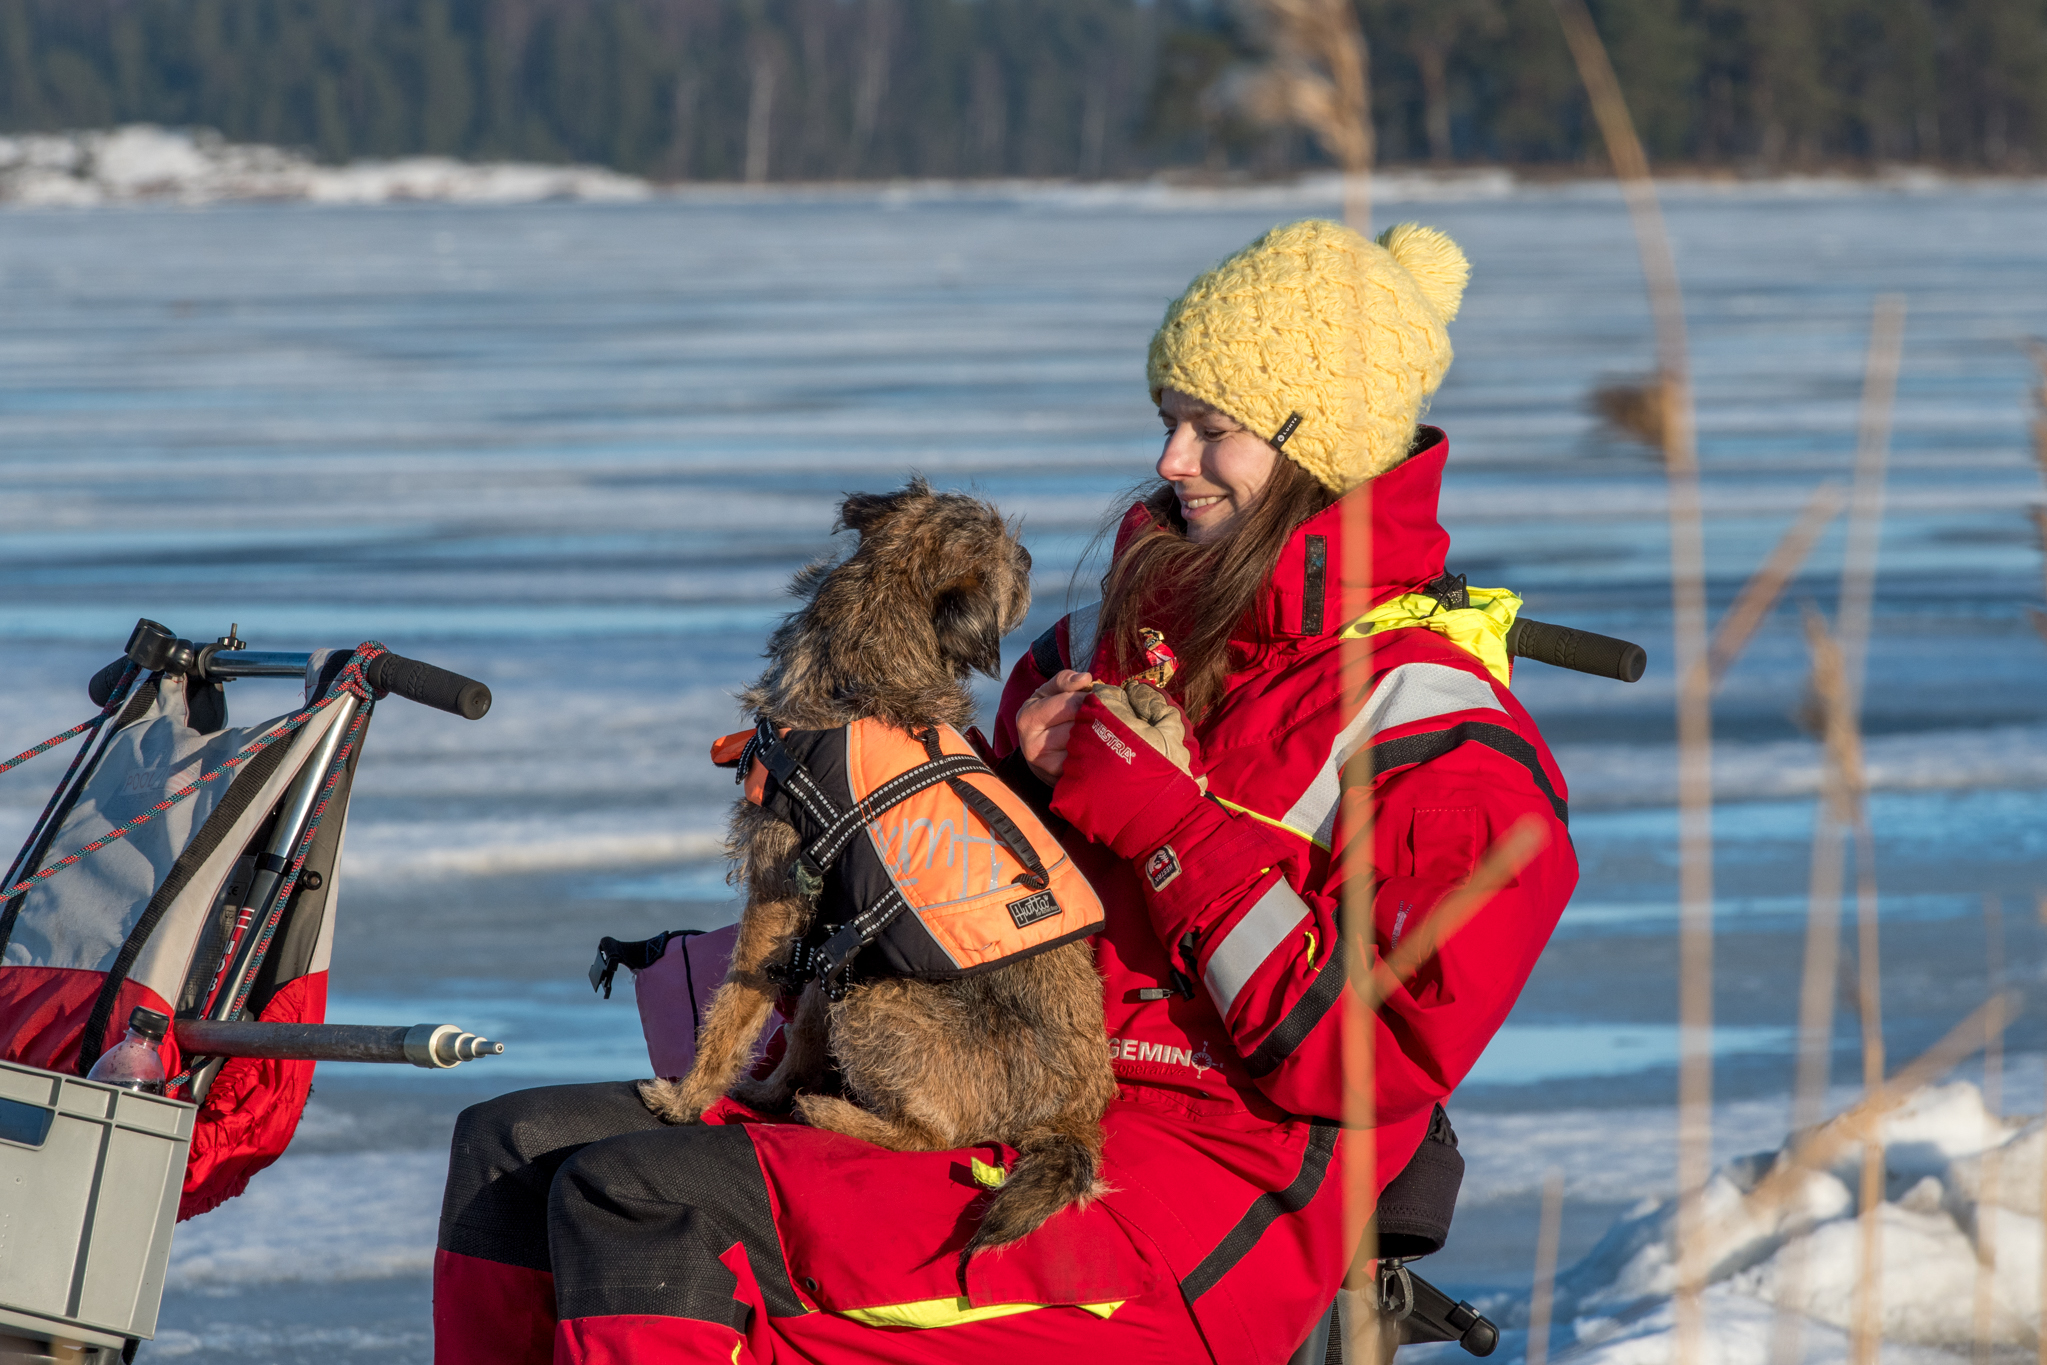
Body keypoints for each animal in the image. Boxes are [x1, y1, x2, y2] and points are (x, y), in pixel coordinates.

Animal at [642, 480, 1113, 1260]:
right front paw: (766, 1092)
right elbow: (802, 1018)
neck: (867, 672)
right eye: (1009, 556)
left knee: (936, 1136)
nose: (1030, 557)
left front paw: (687, 1097)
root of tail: (1080, 1107)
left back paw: (831, 1113)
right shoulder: (830, 921)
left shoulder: (779, 895)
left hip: (877, 1000)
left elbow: (734, 1006)